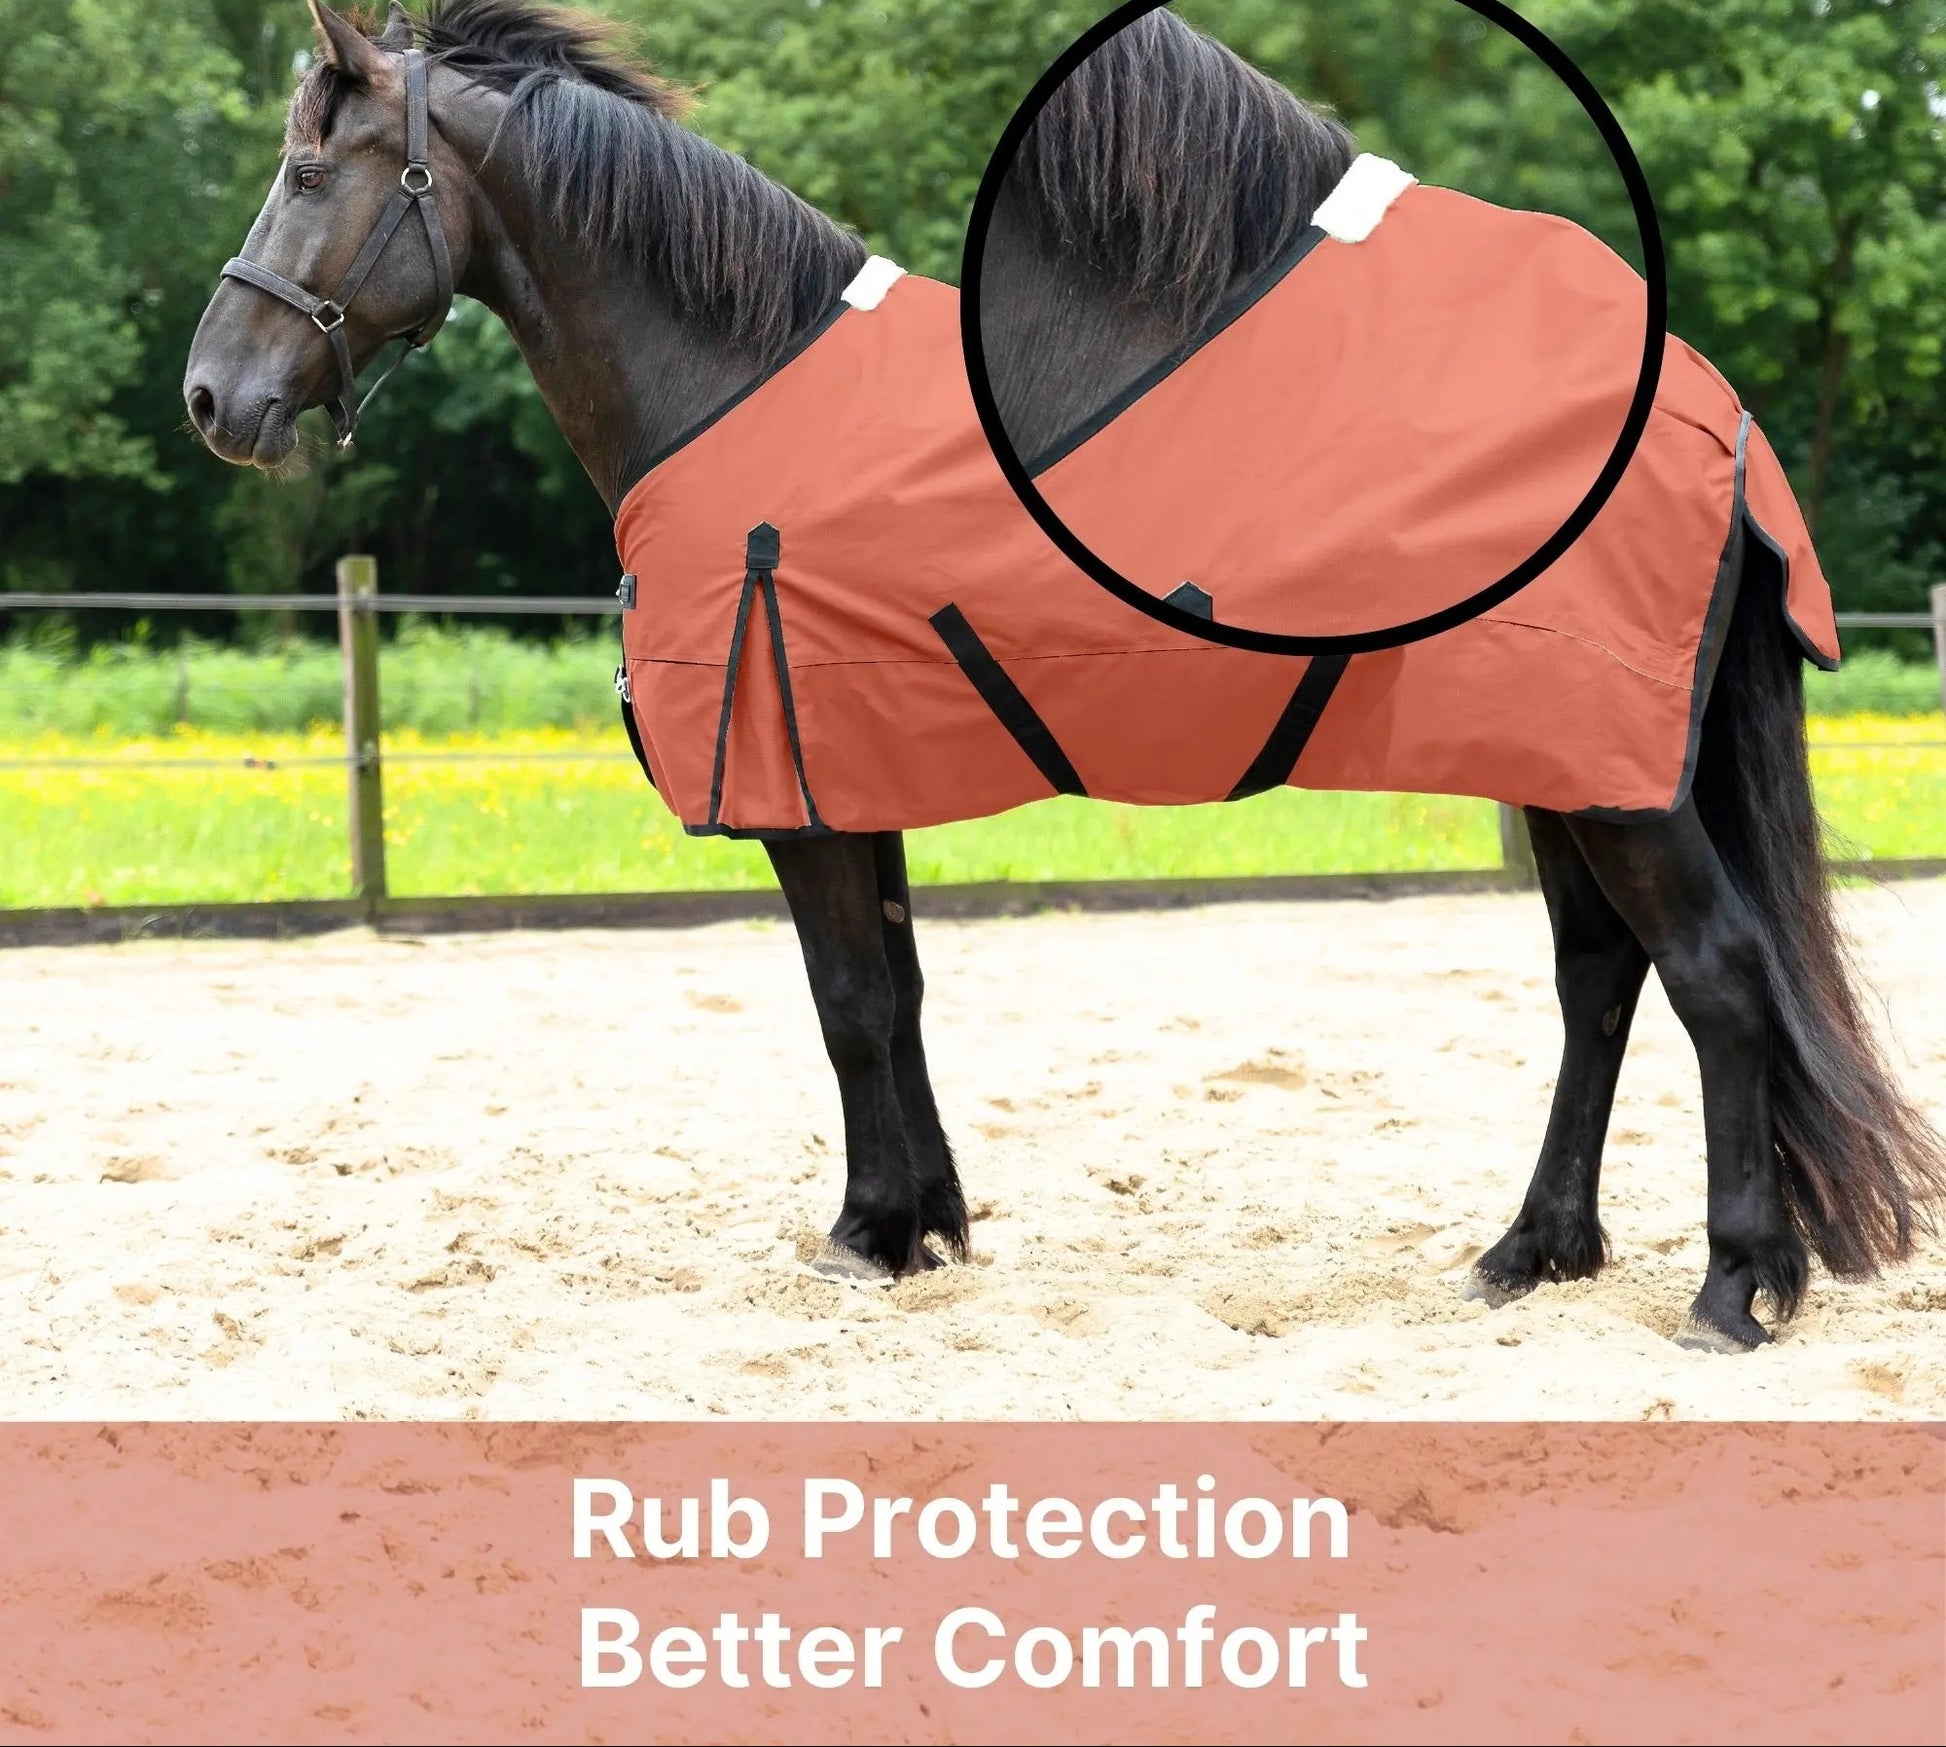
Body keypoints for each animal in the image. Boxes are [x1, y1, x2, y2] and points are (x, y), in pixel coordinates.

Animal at [183, 1, 1943, 1352]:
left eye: (304, 168)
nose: (212, 395)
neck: (731, 382)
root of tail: (1710, 416)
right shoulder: (854, 769)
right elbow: (893, 994)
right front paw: (927, 1223)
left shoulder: (799, 793)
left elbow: (843, 1003)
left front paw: (864, 1233)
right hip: (1563, 769)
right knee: (1599, 980)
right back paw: (1531, 1253)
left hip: (1612, 779)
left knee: (1715, 975)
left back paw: (1733, 1287)